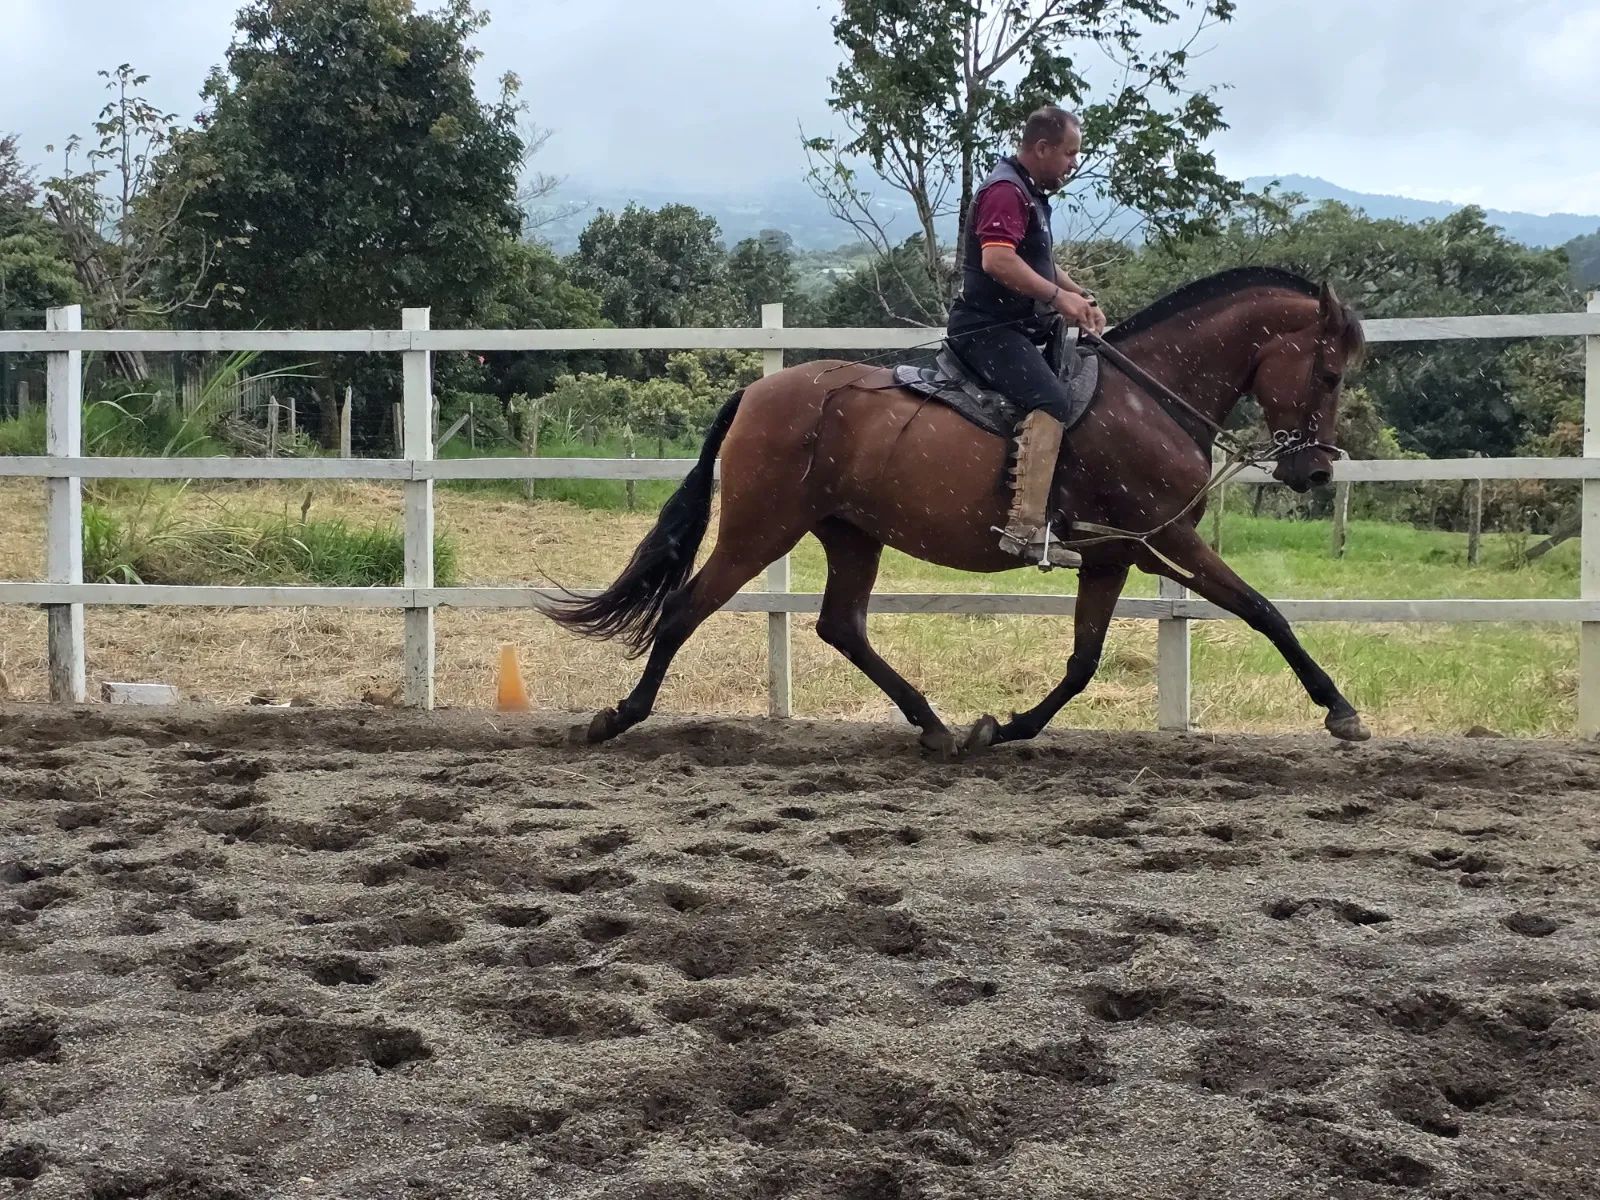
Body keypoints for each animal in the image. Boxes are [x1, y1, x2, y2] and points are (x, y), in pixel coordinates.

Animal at [547, 266, 1371, 756]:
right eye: (1330, 373)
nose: (1314, 470)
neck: (1149, 396)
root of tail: (759, 390)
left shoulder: (1117, 553)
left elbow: (1083, 662)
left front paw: (1001, 726)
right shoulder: (1167, 538)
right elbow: (1263, 611)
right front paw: (1339, 709)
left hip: (851, 535)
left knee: (841, 626)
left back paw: (936, 726)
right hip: (761, 529)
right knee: (686, 608)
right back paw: (620, 714)